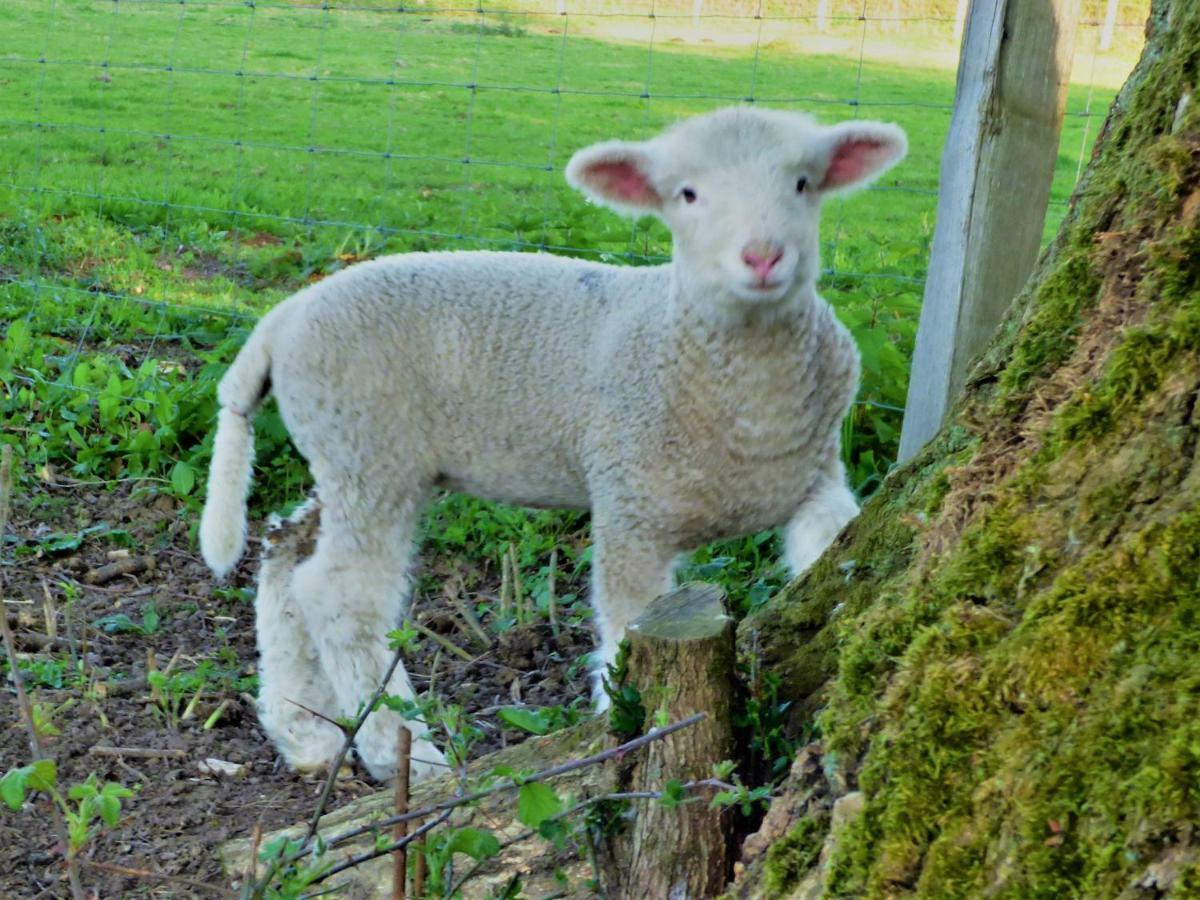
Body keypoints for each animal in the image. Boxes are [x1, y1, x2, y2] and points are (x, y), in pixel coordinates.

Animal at [201, 103, 902, 782]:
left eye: (804, 183)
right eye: (688, 194)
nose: (762, 257)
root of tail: (282, 320)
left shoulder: (818, 481)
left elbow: (834, 554)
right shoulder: (629, 507)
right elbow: (621, 631)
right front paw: (620, 729)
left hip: (348, 457)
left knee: (285, 551)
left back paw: (305, 730)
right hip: (370, 448)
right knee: (338, 597)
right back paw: (404, 752)